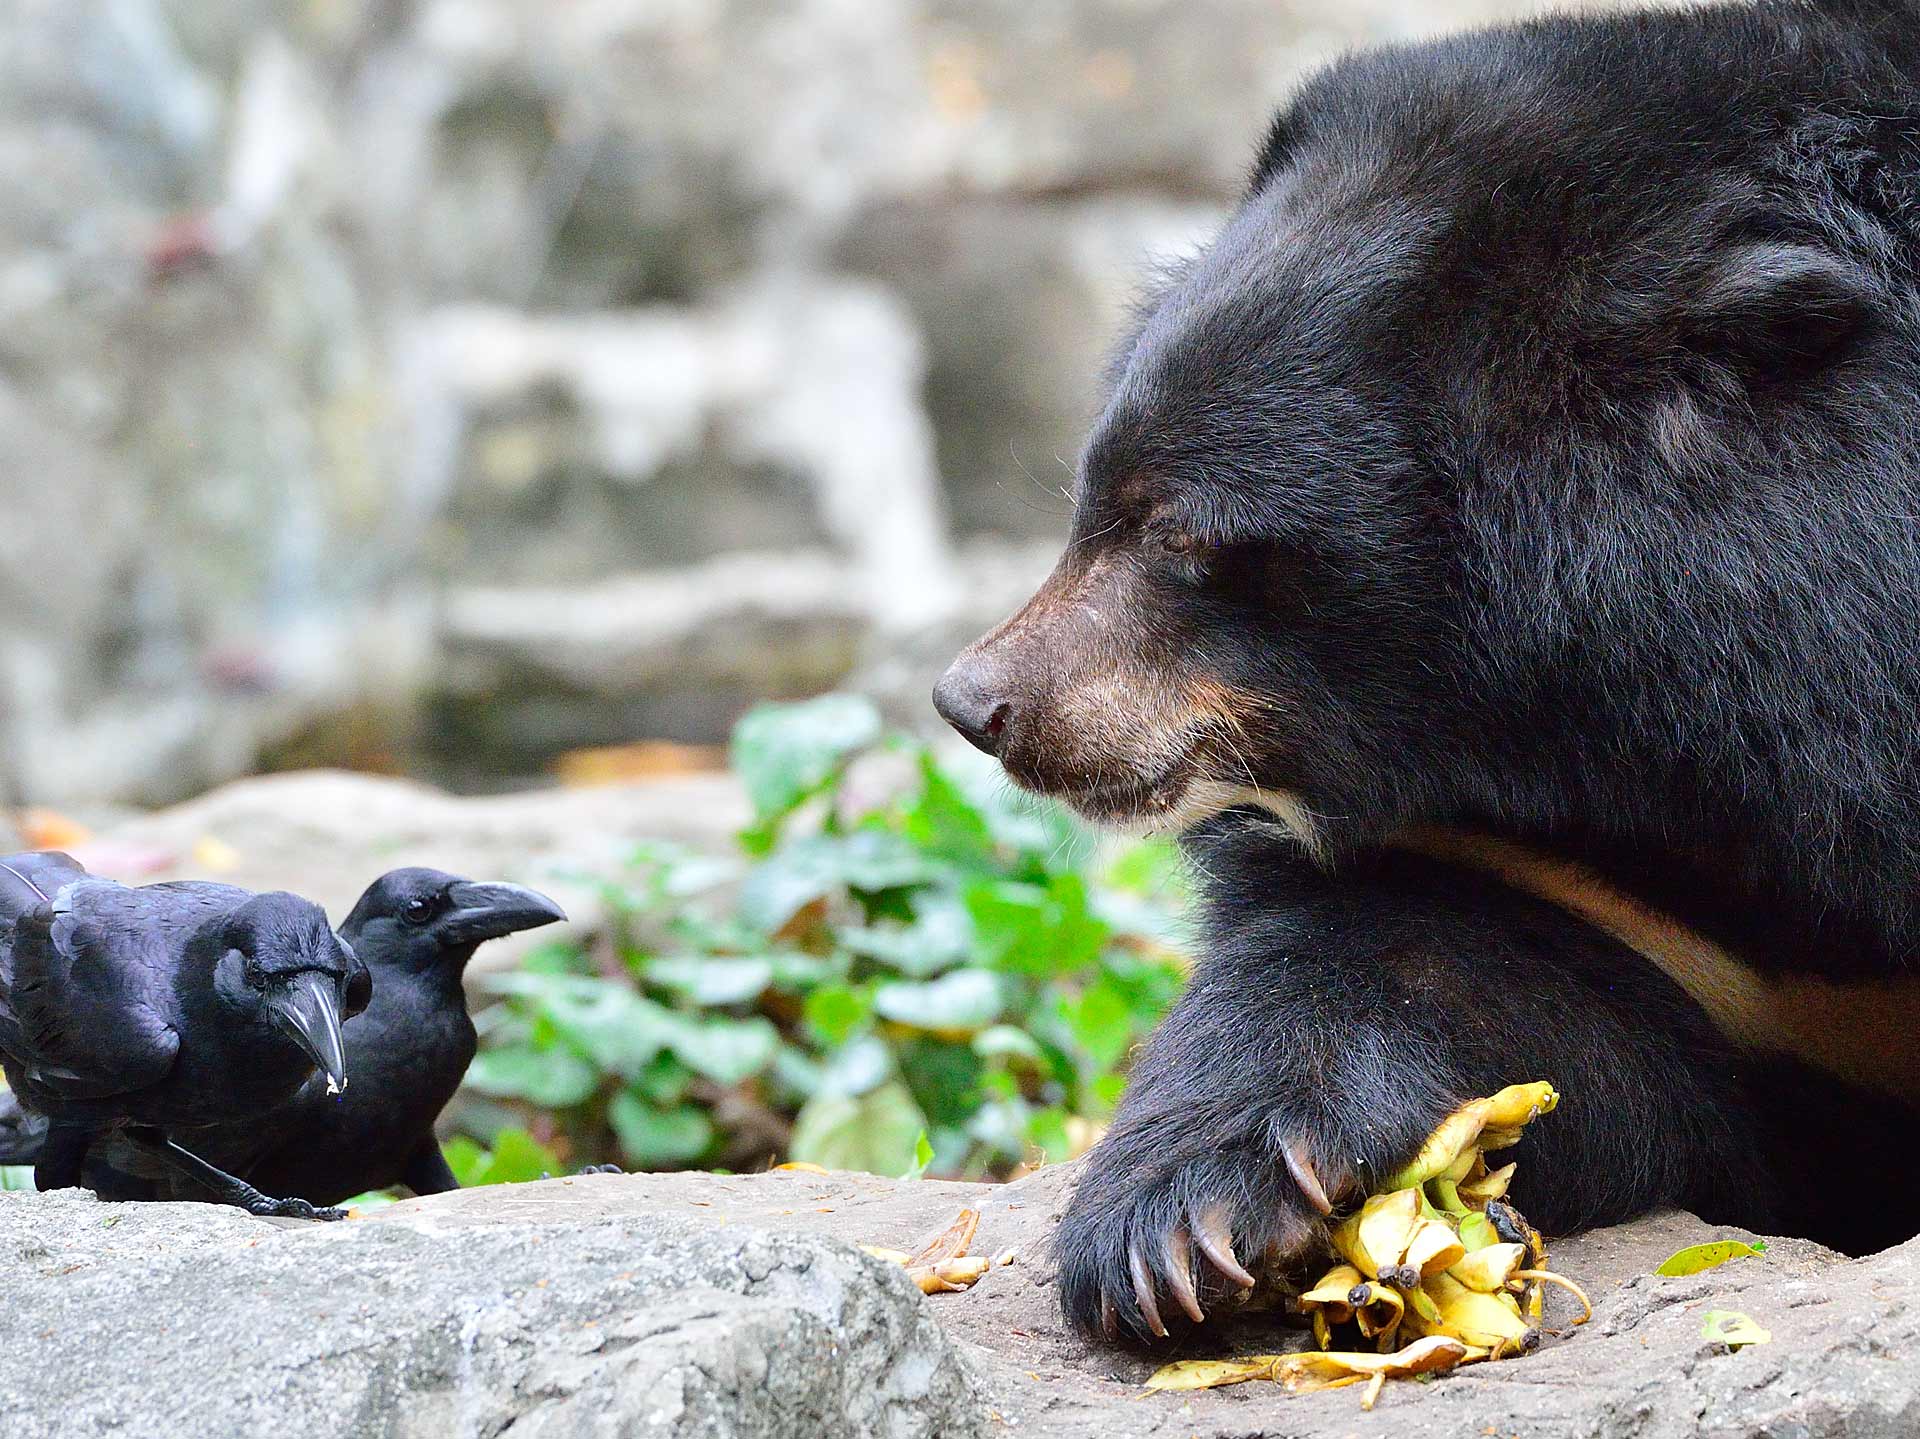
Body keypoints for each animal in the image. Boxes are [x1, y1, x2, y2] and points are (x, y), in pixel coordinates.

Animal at [936, 2, 1920, 1344]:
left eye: (1185, 532)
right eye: (1096, 494)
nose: (979, 702)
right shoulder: (1567, 868)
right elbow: (1433, 973)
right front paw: (1185, 1226)